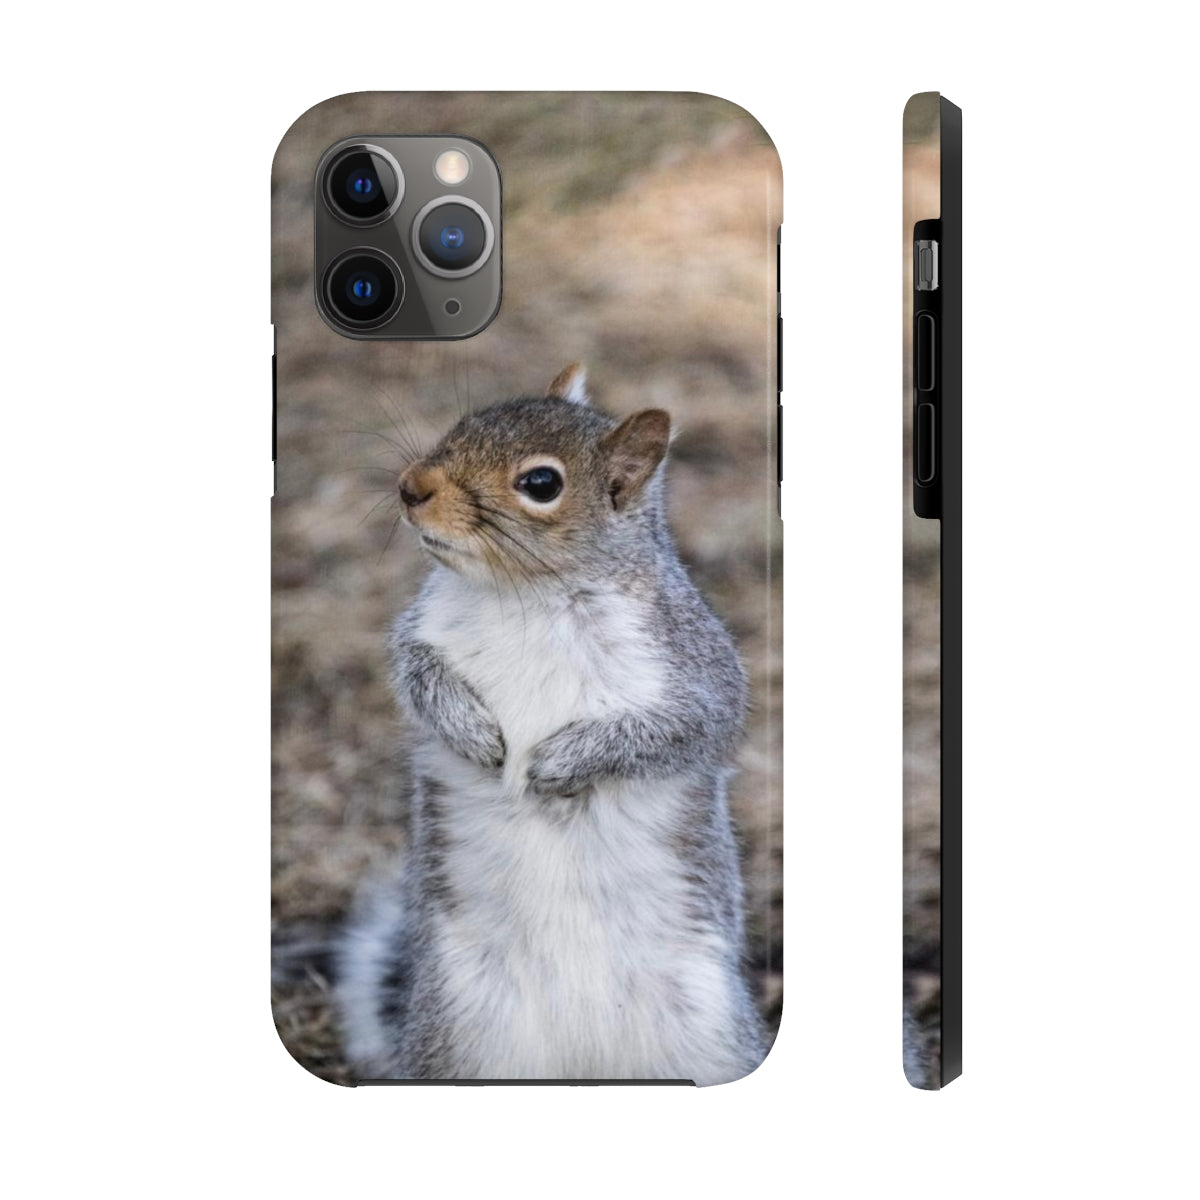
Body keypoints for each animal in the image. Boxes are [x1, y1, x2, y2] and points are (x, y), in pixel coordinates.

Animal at [337, 365, 766, 1084]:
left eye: (541, 484)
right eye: (462, 425)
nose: (411, 487)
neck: (527, 595)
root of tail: (582, 1059)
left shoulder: (693, 671)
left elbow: (678, 730)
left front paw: (559, 762)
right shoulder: (421, 633)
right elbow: (417, 675)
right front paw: (472, 731)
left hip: (707, 1037)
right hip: (462, 1033)